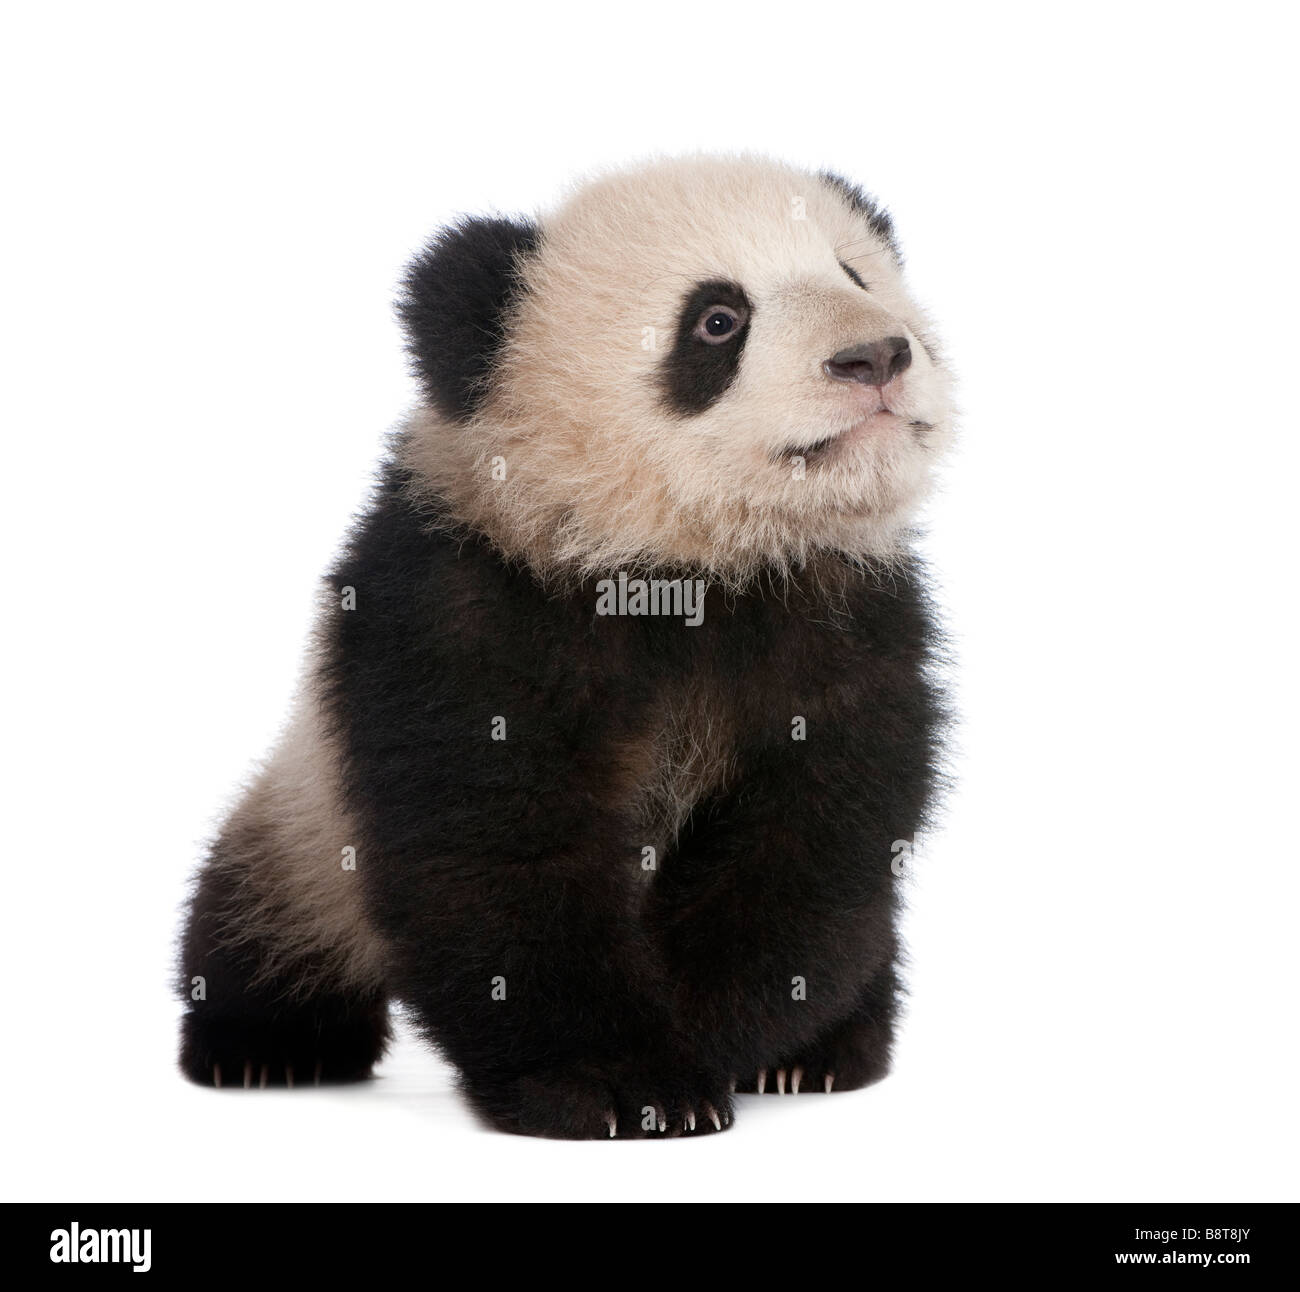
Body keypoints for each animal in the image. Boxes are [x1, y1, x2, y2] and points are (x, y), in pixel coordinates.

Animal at [177, 154, 954, 1138]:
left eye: (855, 275)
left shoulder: (843, 613)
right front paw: (616, 1081)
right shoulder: (470, 603)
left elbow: (811, 842)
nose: (877, 356)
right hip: (305, 827)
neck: (687, 566)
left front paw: (709, 1045)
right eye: (717, 319)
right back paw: (263, 1045)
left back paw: (826, 1053)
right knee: (258, 917)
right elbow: (500, 849)